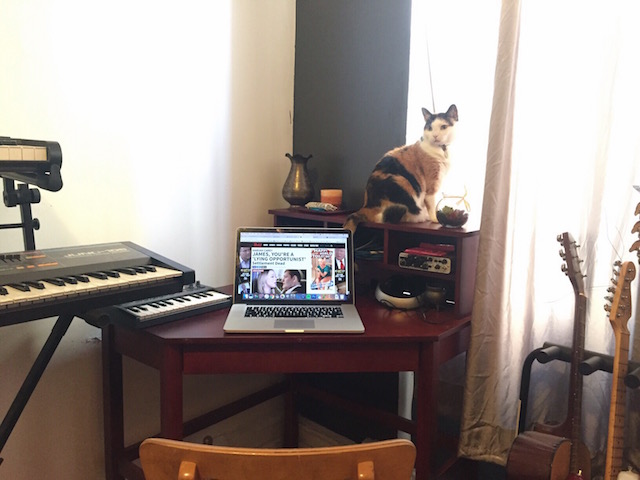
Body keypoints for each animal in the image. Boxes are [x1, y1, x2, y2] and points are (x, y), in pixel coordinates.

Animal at [342, 105, 458, 234]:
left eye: (443, 127)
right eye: (430, 128)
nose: (435, 135)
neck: (442, 151)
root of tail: (367, 205)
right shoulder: (431, 185)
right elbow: (431, 204)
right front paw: (435, 219)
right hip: (402, 182)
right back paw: (422, 217)